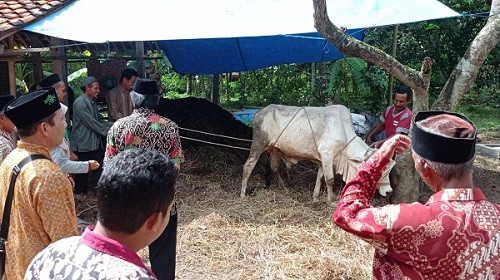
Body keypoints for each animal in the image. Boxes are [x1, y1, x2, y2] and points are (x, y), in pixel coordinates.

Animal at [242, 104, 394, 202]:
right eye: (381, 171)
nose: (389, 191)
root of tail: (259, 112)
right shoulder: (327, 154)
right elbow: (330, 179)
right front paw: (330, 200)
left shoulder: (323, 159)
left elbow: (320, 176)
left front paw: (315, 197)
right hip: (258, 145)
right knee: (247, 167)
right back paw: (243, 194)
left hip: (275, 149)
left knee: (274, 168)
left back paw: (284, 188)